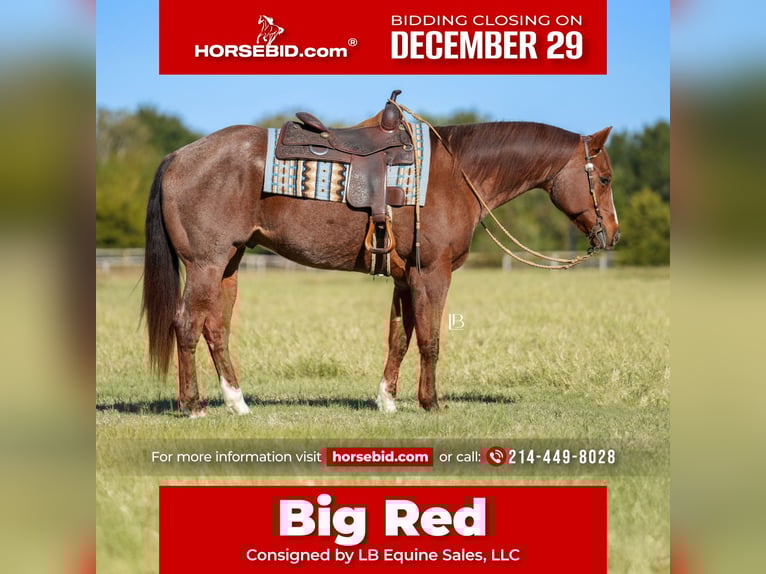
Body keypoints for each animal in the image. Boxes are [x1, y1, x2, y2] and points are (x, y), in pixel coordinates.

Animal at [142, 116, 620, 418]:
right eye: (605, 178)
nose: (612, 235)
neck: (455, 173)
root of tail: (178, 156)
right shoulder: (433, 274)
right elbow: (429, 339)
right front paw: (431, 403)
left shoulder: (406, 278)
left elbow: (399, 338)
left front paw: (387, 400)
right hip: (205, 264)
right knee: (187, 325)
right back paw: (194, 406)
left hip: (229, 264)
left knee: (215, 329)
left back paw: (237, 402)